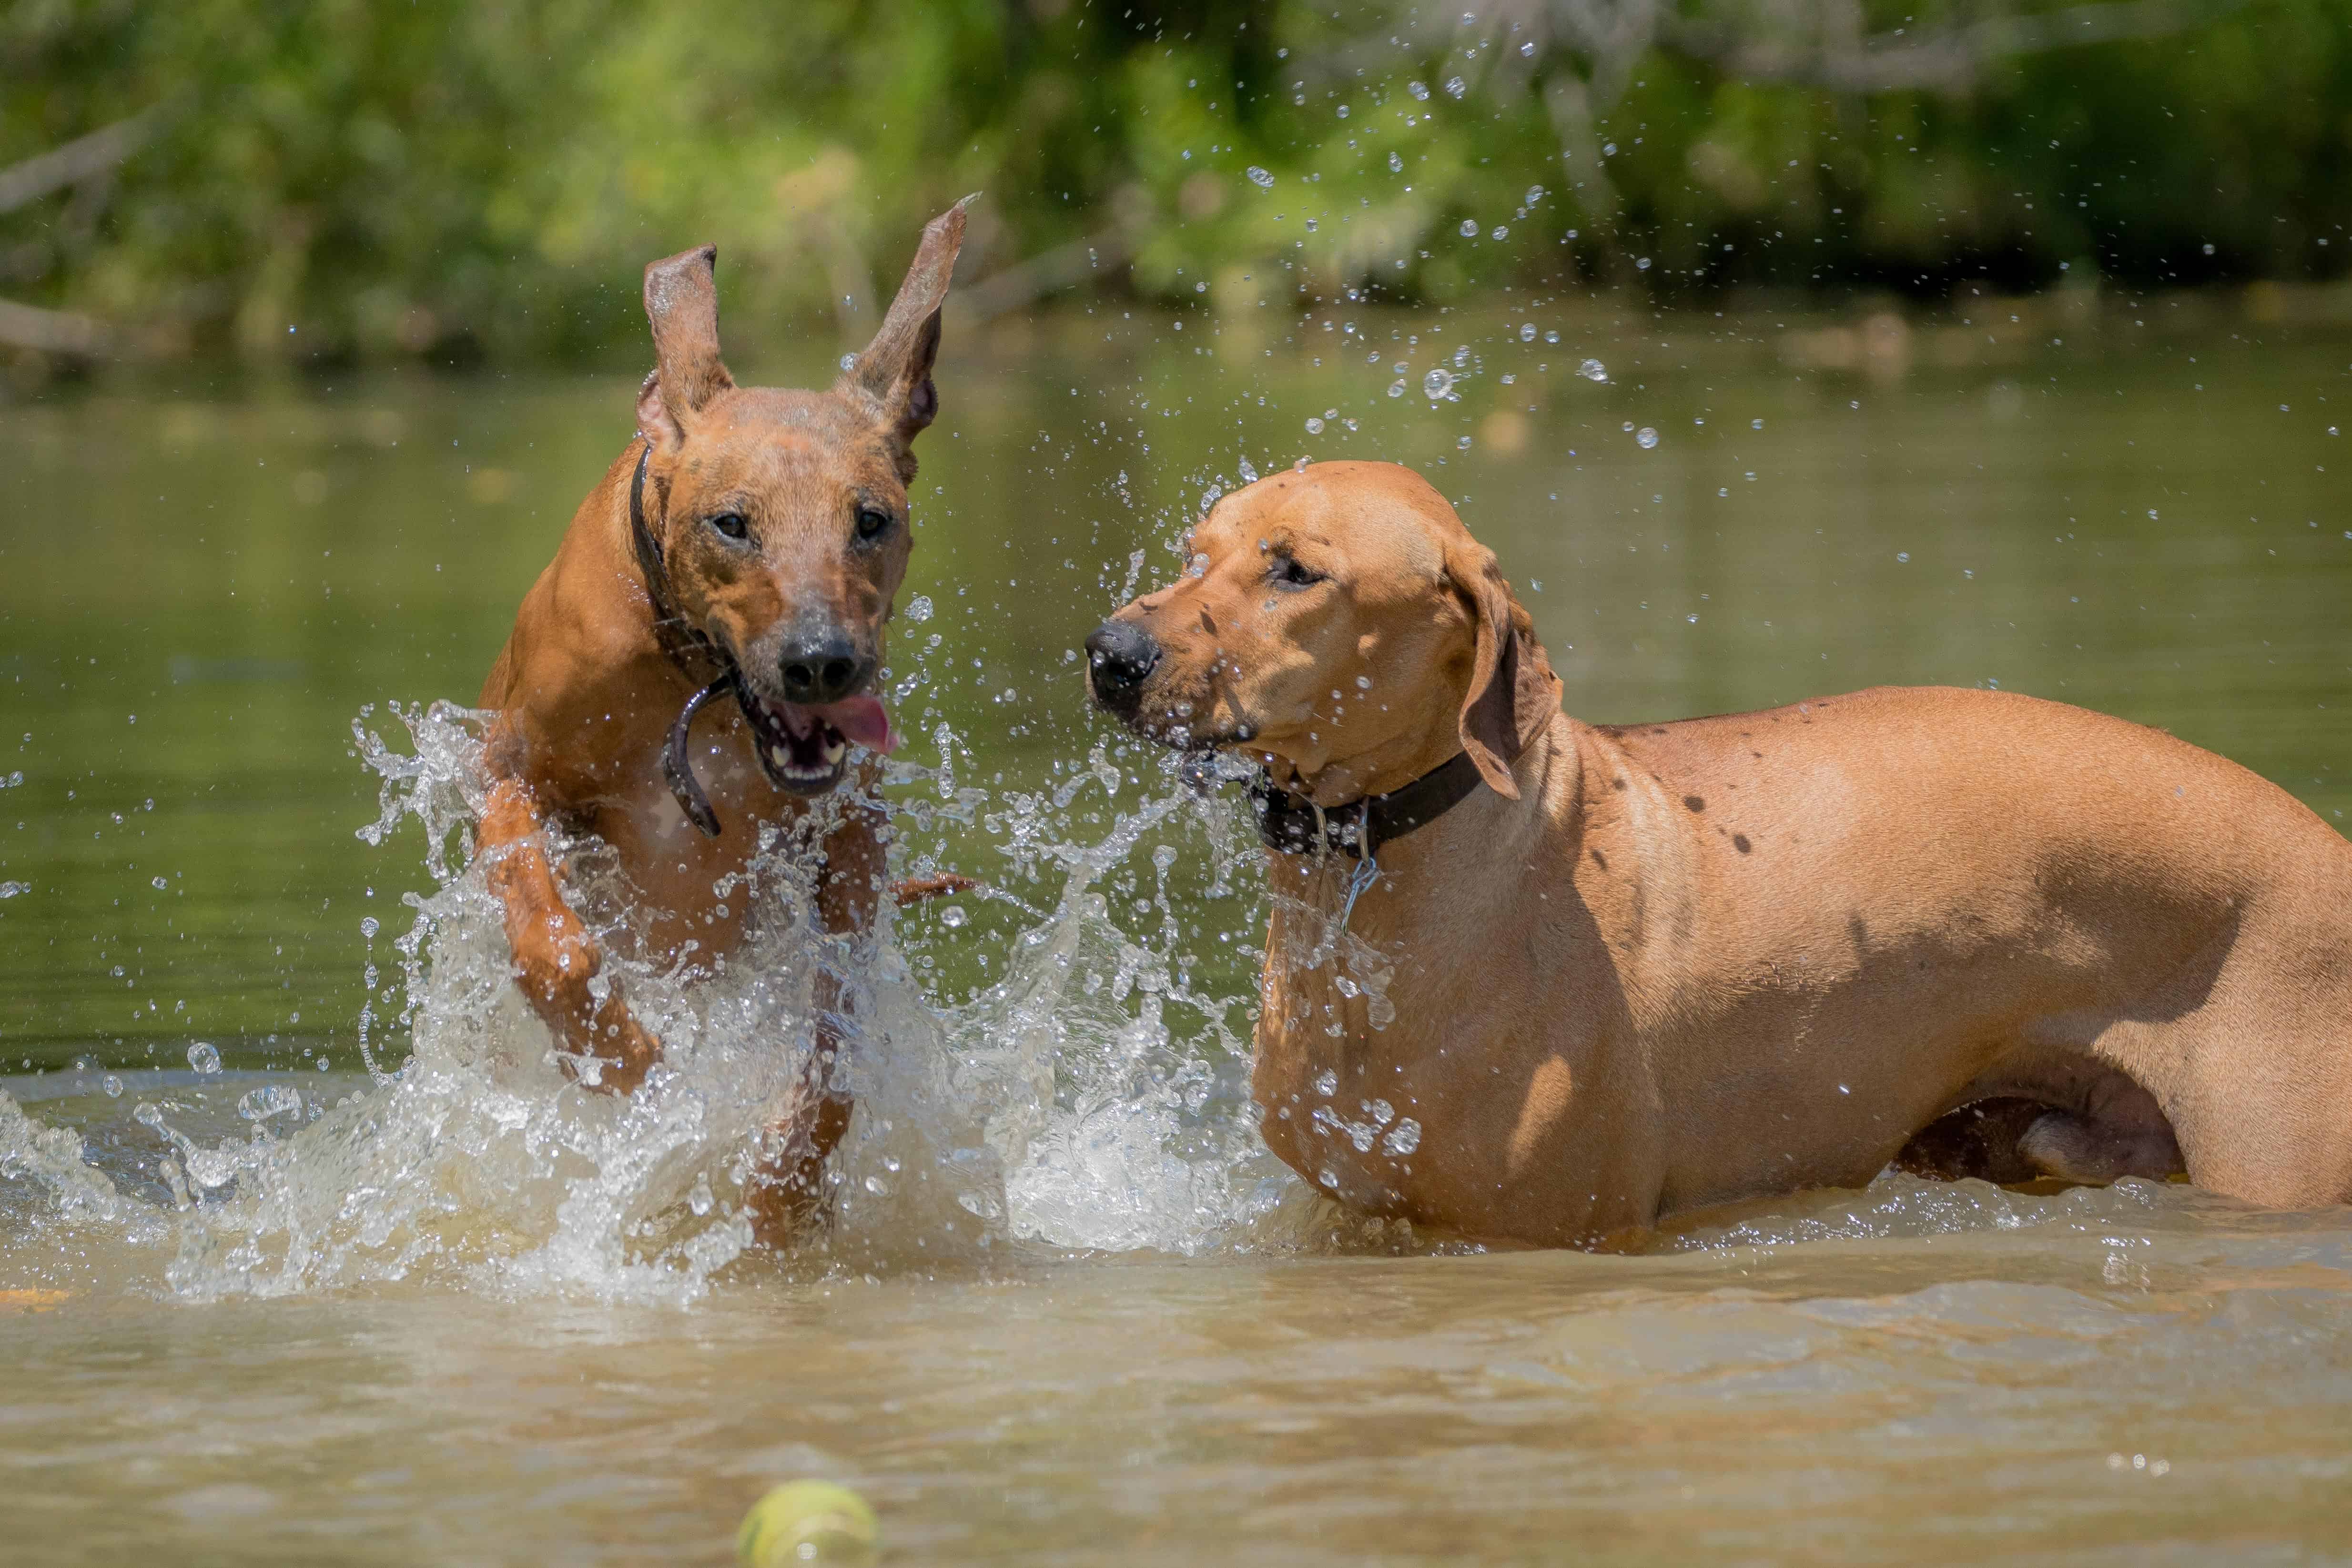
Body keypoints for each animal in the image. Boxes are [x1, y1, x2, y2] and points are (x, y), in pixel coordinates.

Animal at [479, 202, 973, 1241]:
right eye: (732, 523)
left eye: (871, 518)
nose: (821, 660)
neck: (695, 679)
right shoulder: (500, 770)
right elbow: (550, 939)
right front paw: (619, 1057)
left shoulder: (847, 834)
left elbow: (835, 1038)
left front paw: (786, 1175)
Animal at [1082, 461, 2352, 1241]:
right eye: (1194, 552)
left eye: (1296, 569)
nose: (1109, 652)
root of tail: (2326, 845)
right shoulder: (1351, 1211)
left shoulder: (1558, 1230)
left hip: (2279, 1154)